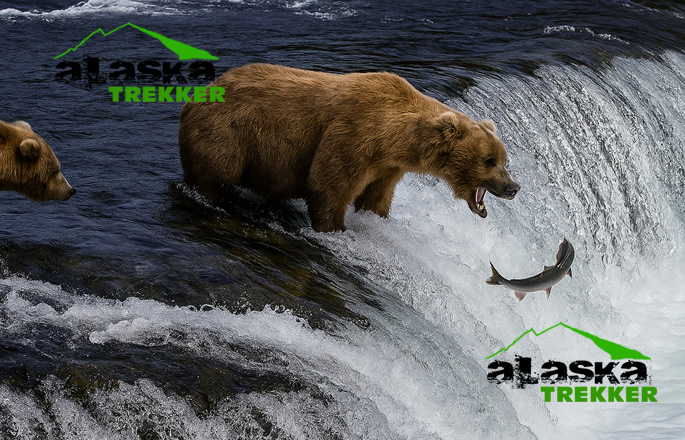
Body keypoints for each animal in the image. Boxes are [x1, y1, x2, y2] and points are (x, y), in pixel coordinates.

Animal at [178, 64, 519, 232]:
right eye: (489, 160)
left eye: (505, 159)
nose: (513, 187)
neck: (395, 140)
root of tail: (197, 96)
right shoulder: (352, 135)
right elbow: (329, 186)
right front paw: (334, 228)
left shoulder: (387, 168)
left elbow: (376, 199)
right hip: (229, 133)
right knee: (215, 176)